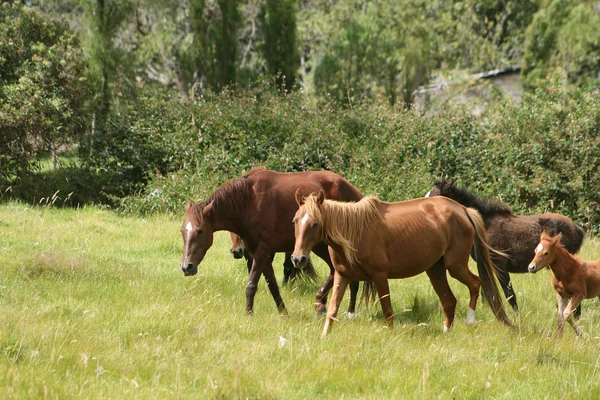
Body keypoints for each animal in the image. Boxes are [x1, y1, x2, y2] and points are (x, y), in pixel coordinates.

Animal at [180, 166, 364, 316]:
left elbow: (251, 285)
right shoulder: (259, 252)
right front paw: (283, 312)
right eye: (182, 231)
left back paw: (334, 308)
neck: (249, 201)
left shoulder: (262, 251)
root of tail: (356, 193)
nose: (186, 267)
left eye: (200, 231)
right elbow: (272, 285)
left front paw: (248, 314)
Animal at [290, 189, 510, 336]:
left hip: (455, 266)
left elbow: (387, 311)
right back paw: (446, 332)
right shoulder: (341, 276)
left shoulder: (379, 276)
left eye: (315, 223)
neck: (354, 232)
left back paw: (470, 320)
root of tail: (463, 209)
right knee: (449, 301)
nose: (298, 259)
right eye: (295, 221)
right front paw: (324, 336)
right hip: (435, 270)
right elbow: (332, 310)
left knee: (475, 283)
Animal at [426, 179, 584, 316]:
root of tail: (577, 229)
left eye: (435, 198)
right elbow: (486, 291)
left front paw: (517, 317)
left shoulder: (500, 265)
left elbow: (509, 294)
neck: (485, 225)